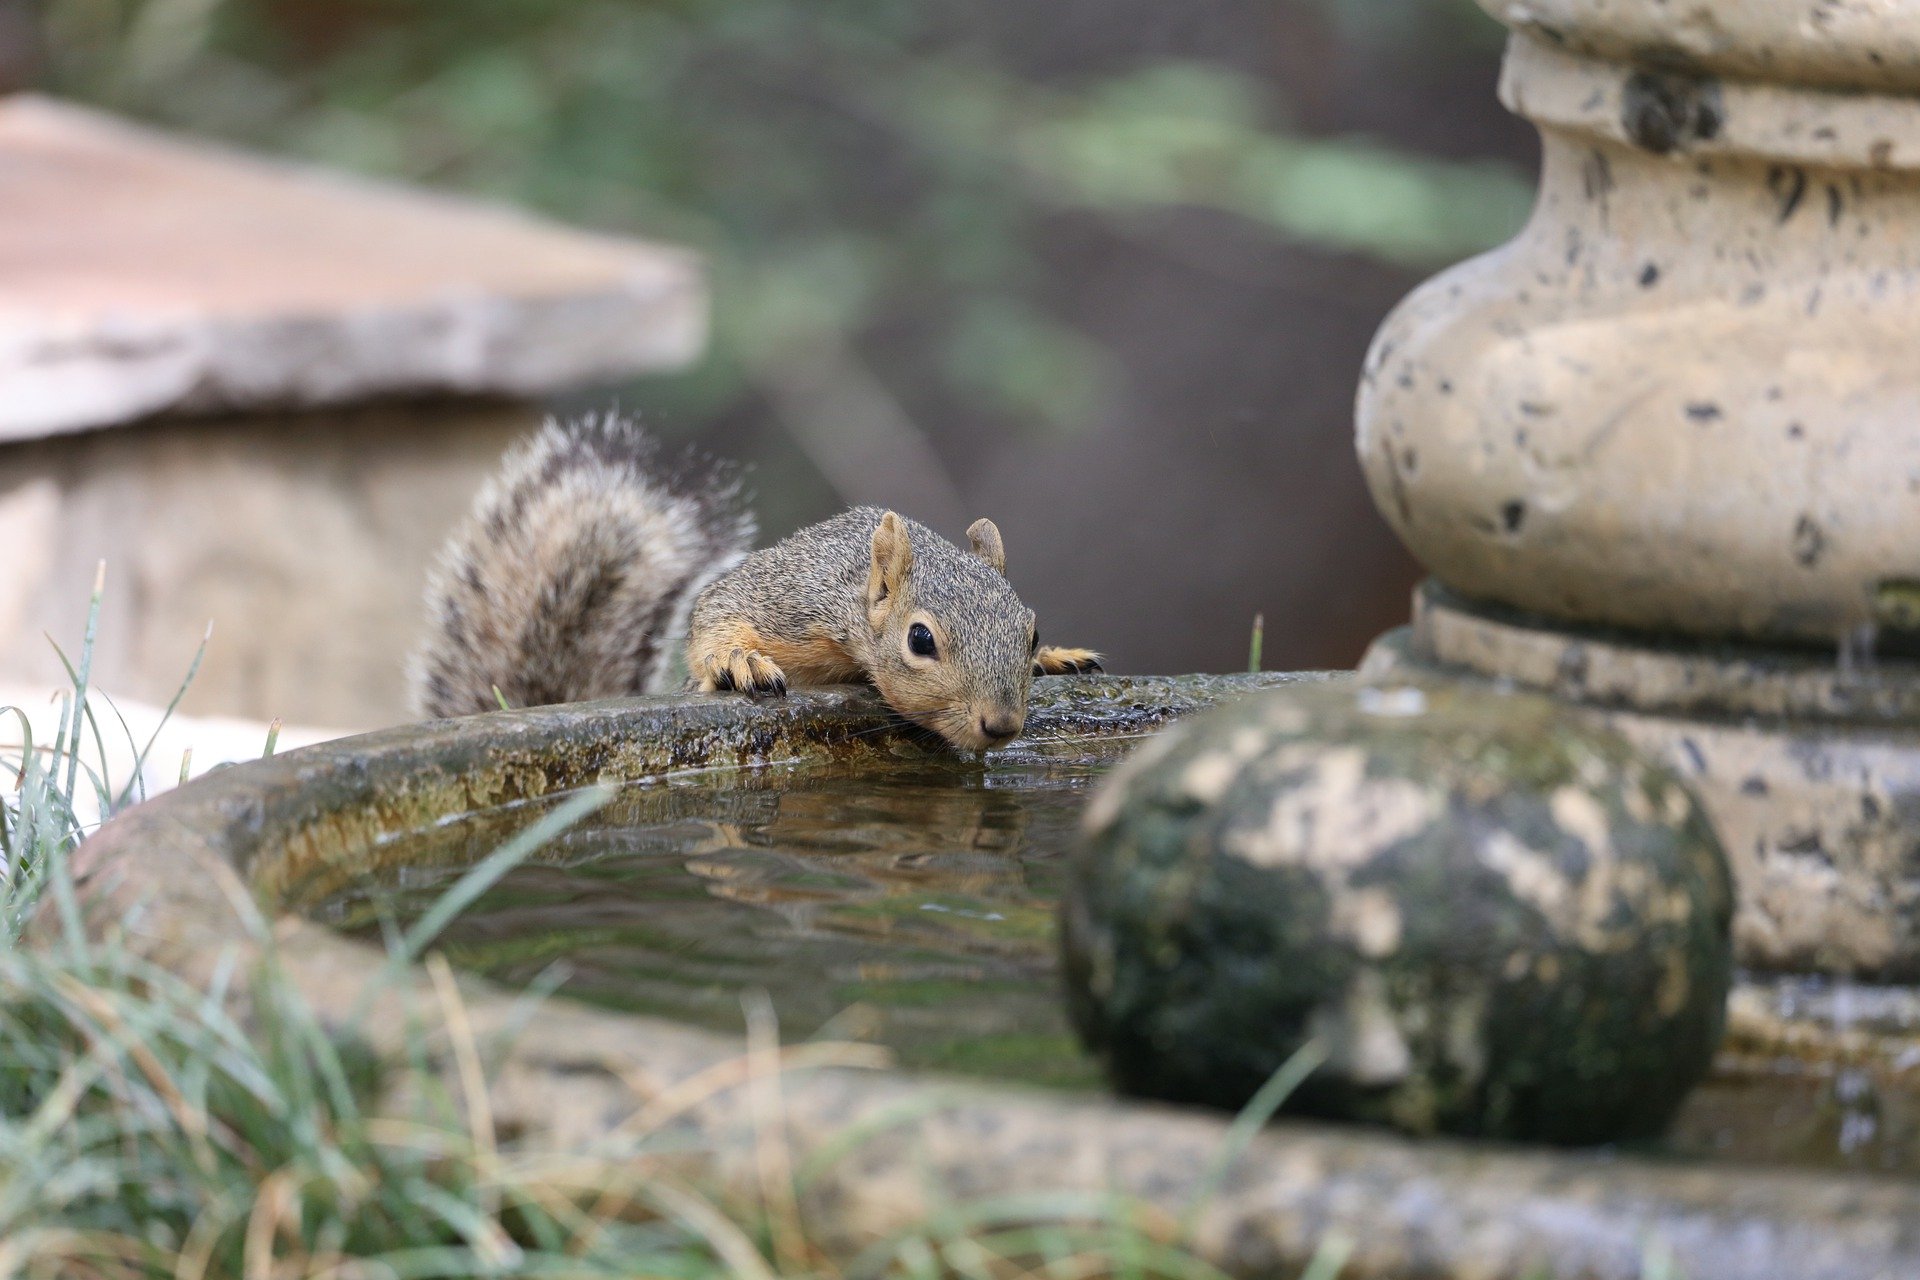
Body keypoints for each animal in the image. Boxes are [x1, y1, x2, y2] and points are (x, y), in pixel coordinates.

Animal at [412, 410, 1105, 752]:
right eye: (920, 641)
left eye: (1029, 630)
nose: (1002, 725)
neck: (855, 599)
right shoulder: (795, 600)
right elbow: (718, 608)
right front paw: (736, 661)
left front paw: (1057, 656)